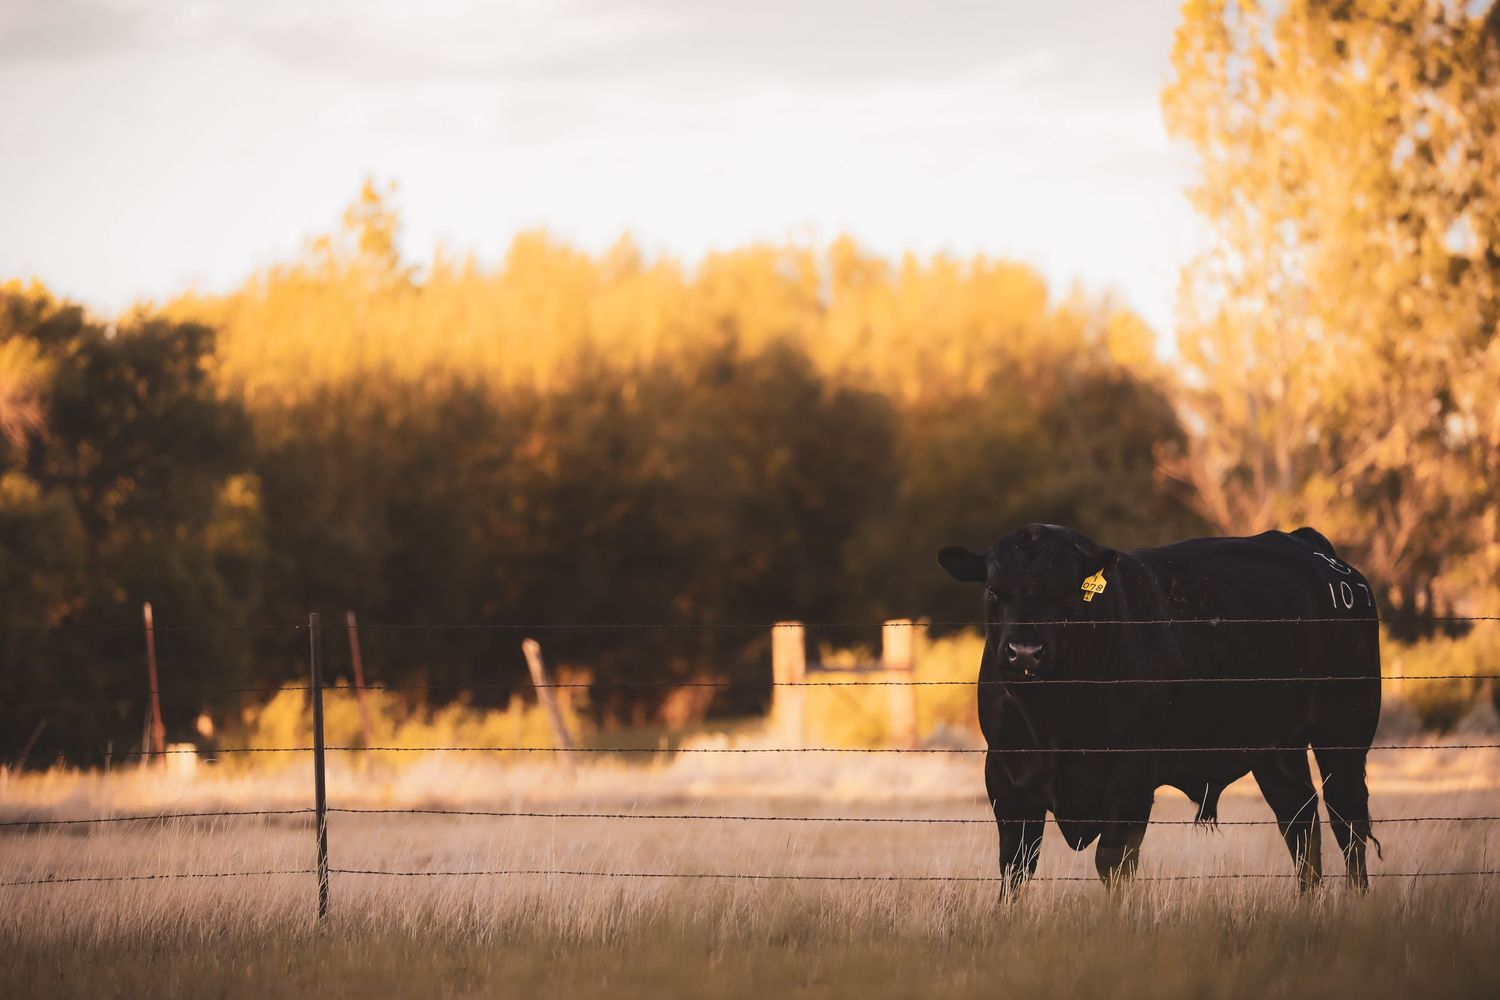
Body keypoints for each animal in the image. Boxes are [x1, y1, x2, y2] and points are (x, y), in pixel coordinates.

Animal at [938, 524, 1381, 895]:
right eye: (994, 592)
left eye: (1068, 594)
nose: (1025, 651)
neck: (1053, 720)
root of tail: (1312, 549)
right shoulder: (1004, 774)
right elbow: (1015, 866)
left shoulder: (1132, 774)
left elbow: (1114, 863)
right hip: (1277, 749)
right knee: (1299, 820)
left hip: (1343, 732)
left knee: (1348, 820)